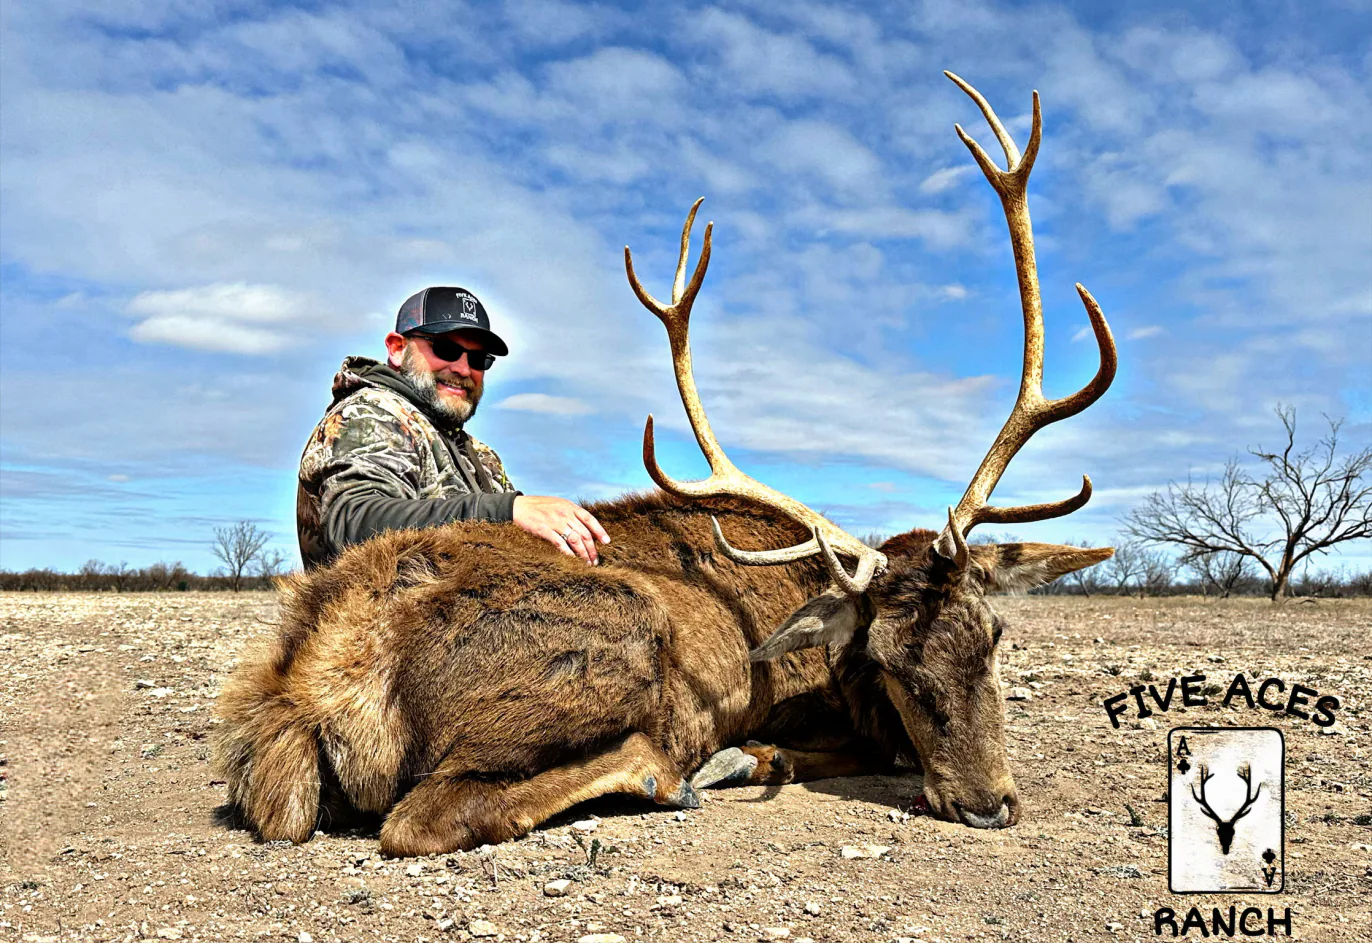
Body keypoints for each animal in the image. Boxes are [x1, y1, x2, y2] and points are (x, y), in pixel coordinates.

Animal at [214, 72, 1117, 857]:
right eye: (886, 658)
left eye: (995, 634)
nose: (988, 803)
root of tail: (307, 693)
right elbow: (849, 748)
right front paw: (752, 756)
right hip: (622, 628)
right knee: (425, 814)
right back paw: (670, 769)